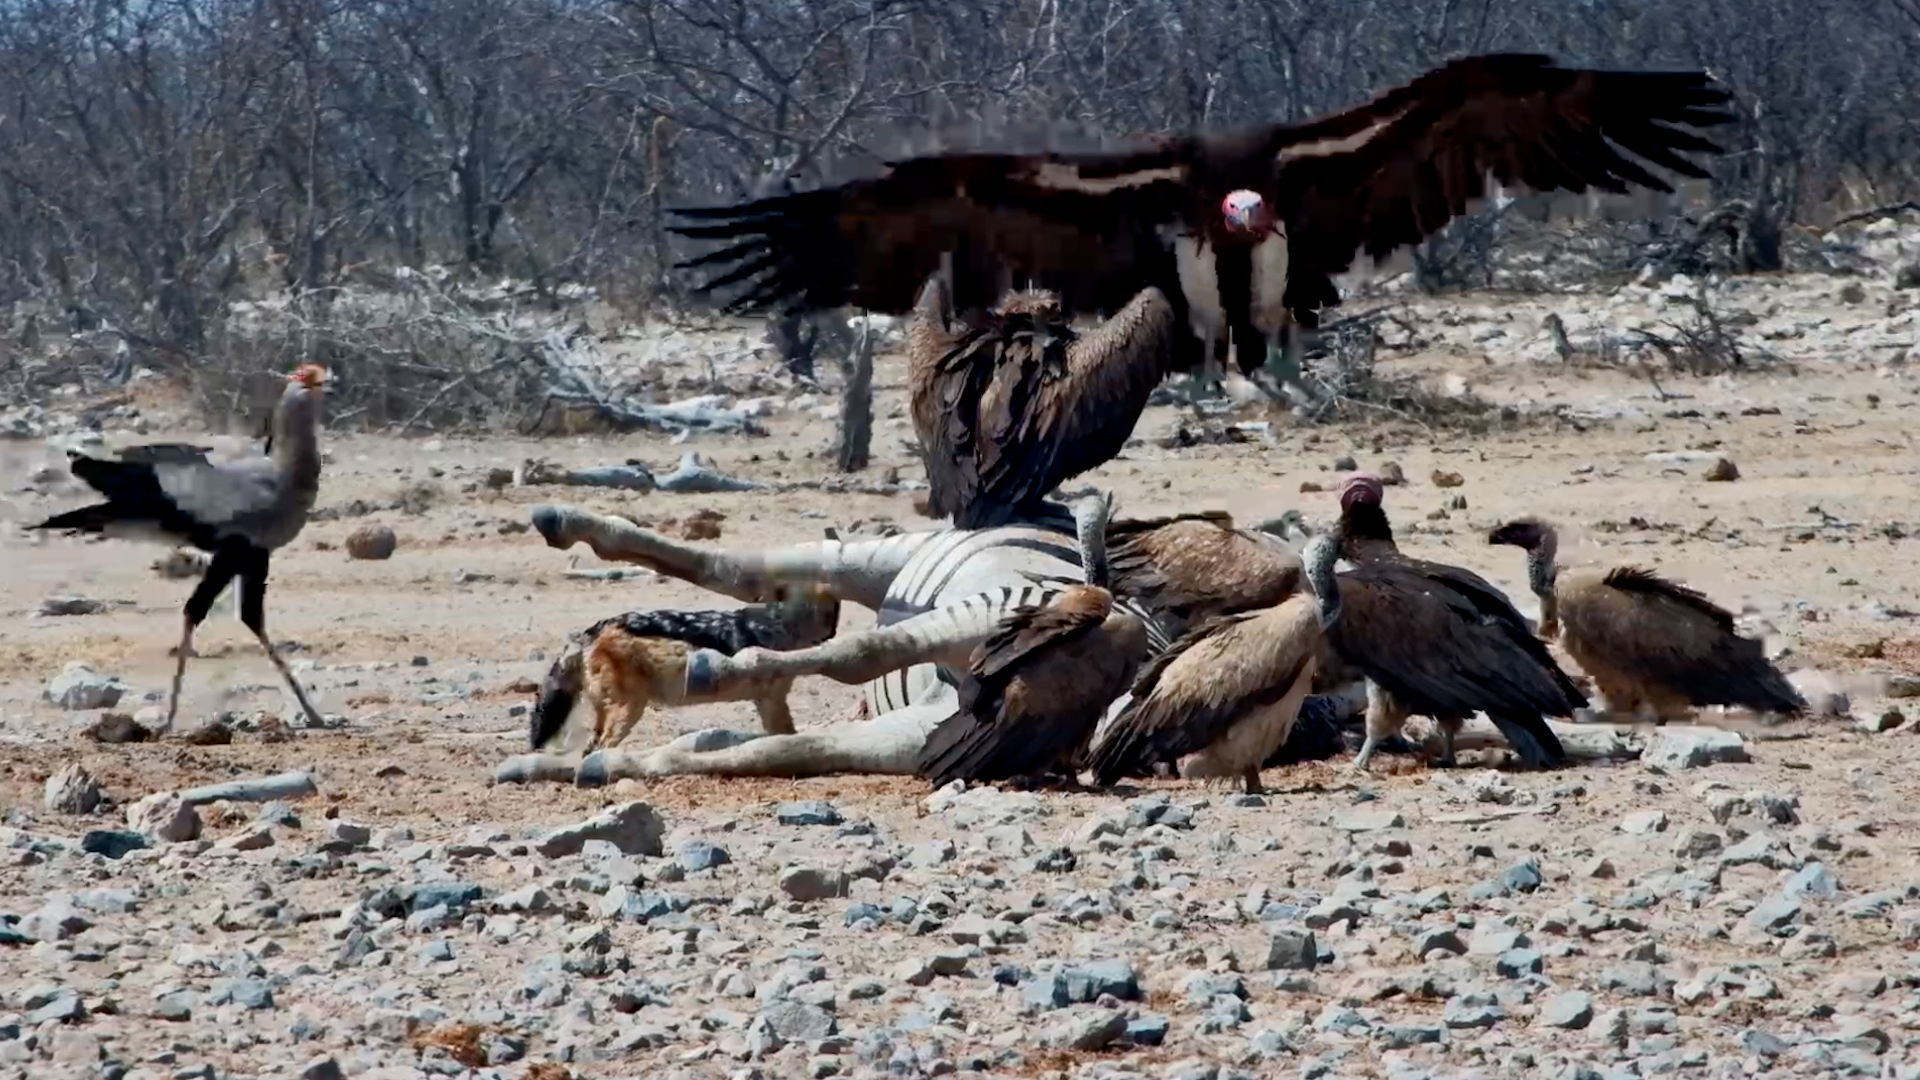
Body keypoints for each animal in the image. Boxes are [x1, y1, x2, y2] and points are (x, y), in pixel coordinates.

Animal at [493, 496, 1172, 785]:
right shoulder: (998, 618)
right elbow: (858, 656)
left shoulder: (915, 740)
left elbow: (777, 750)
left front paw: (601, 765)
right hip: (895, 563)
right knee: (742, 567)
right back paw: (567, 522)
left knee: (762, 586)